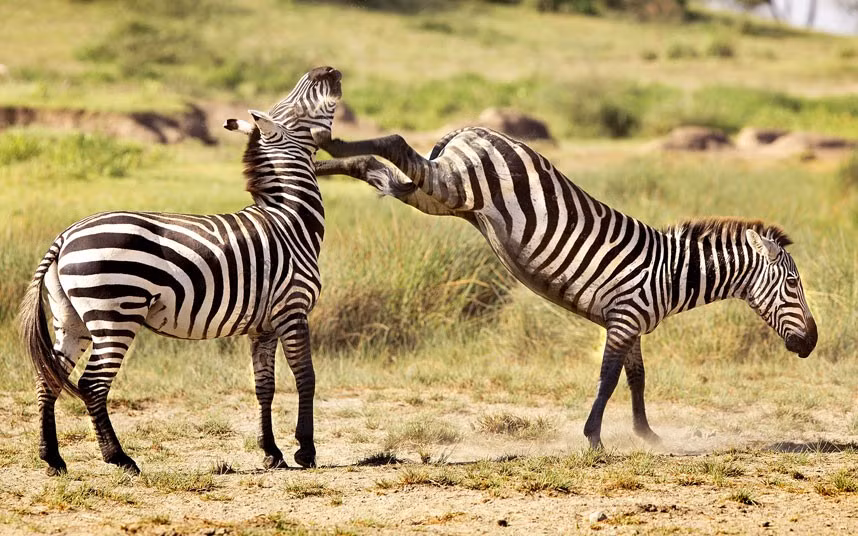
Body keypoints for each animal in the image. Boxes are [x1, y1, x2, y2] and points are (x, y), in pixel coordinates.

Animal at [18, 66, 343, 475]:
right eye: (293, 108)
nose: (327, 70)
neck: (291, 220)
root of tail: (65, 236)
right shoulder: (293, 308)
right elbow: (306, 377)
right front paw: (305, 450)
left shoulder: (263, 326)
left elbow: (263, 386)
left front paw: (272, 452)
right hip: (114, 314)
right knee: (92, 384)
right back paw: (120, 459)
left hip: (71, 317)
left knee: (49, 378)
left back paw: (53, 458)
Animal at [307, 126, 818, 449]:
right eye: (794, 283)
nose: (811, 343)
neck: (672, 272)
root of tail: (473, 130)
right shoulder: (624, 318)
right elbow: (608, 377)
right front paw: (594, 438)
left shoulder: (629, 323)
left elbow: (636, 378)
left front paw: (646, 435)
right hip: (452, 184)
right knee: (394, 142)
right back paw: (324, 142)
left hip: (435, 196)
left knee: (374, 166)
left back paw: (317, 157)